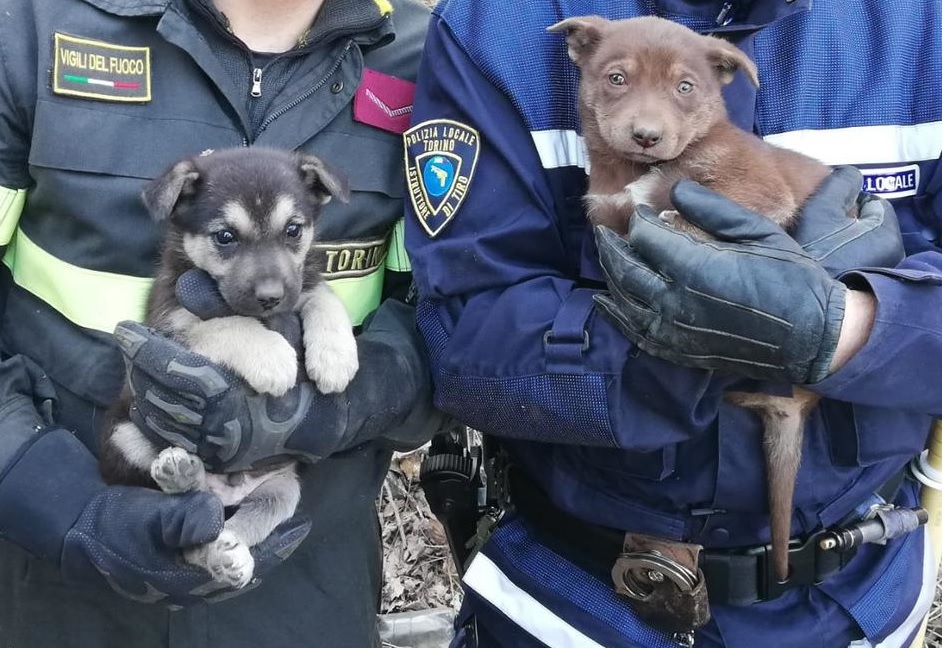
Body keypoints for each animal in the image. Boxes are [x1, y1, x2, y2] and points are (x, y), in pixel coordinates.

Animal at [99, 146, 358, 588]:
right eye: (225, 237)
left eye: (293, 230)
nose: (271, 297)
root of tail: (226, 492)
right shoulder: (174, 321)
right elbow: (226, 324)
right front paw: (274, 357)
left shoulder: (302, 285)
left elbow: (323, 296)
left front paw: (336, 356)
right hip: (125, 436)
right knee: (190, 521)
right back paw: (181, 475)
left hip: (281, 491)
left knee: (228, 525)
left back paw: (228, 555)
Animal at [548, 16, 836, 584]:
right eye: (616, 79)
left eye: (685, 87)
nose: (646, 135)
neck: (632, 173)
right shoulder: (610, 214)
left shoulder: (759, 192)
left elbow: (694, 214)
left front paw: (680, 228)